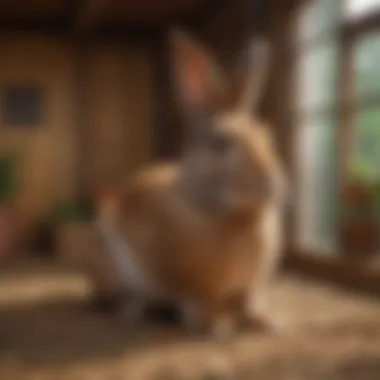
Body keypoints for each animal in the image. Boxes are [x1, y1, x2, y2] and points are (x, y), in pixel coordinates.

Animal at [95, 29, 288, 336]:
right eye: (221, 143)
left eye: (266, 136)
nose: (270, 183)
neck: (232, 215)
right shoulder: (188, 281)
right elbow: (199, 300)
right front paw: (216, 326)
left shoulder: (251, 285)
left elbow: (250, 302)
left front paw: (268, 323)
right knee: (126, 298)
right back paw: (133, 313)